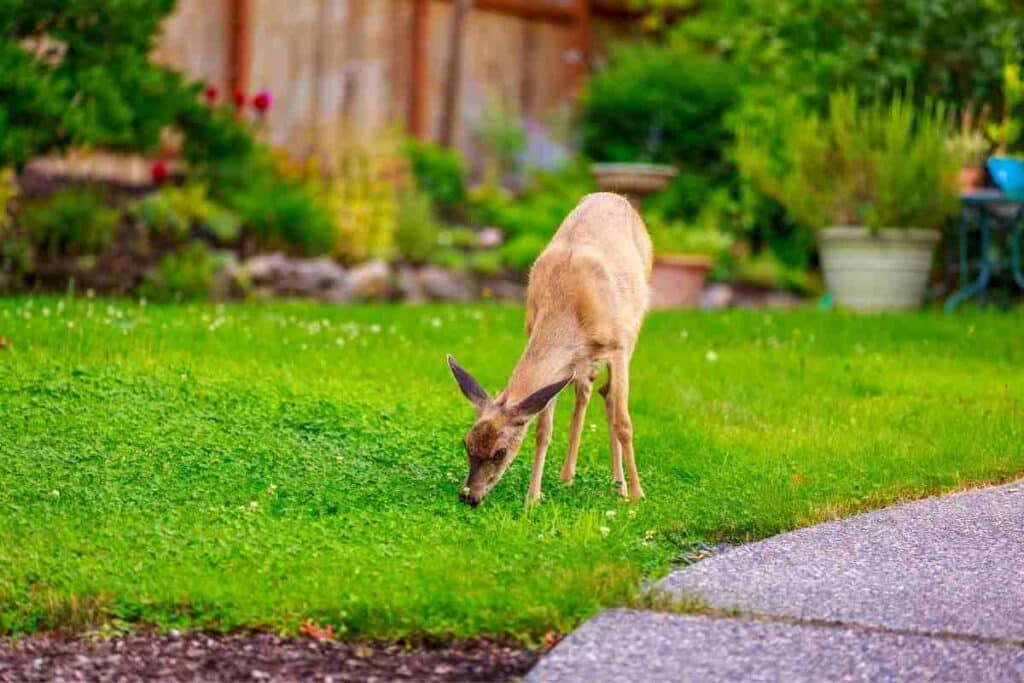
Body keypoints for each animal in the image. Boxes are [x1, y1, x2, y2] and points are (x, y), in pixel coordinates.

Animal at [446, 192, 651, 507]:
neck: (567, 306)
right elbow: (543, 429)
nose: (469, 496)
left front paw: (639, 495)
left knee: (609, 399)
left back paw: (621, 486)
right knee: (589, 393)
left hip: (632, 328)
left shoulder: (617, 345)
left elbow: (624, 423)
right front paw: (533, 497)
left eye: (500, 452)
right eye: (466, 443)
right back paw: (571, 476)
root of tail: (615, 196)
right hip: (583, 363)